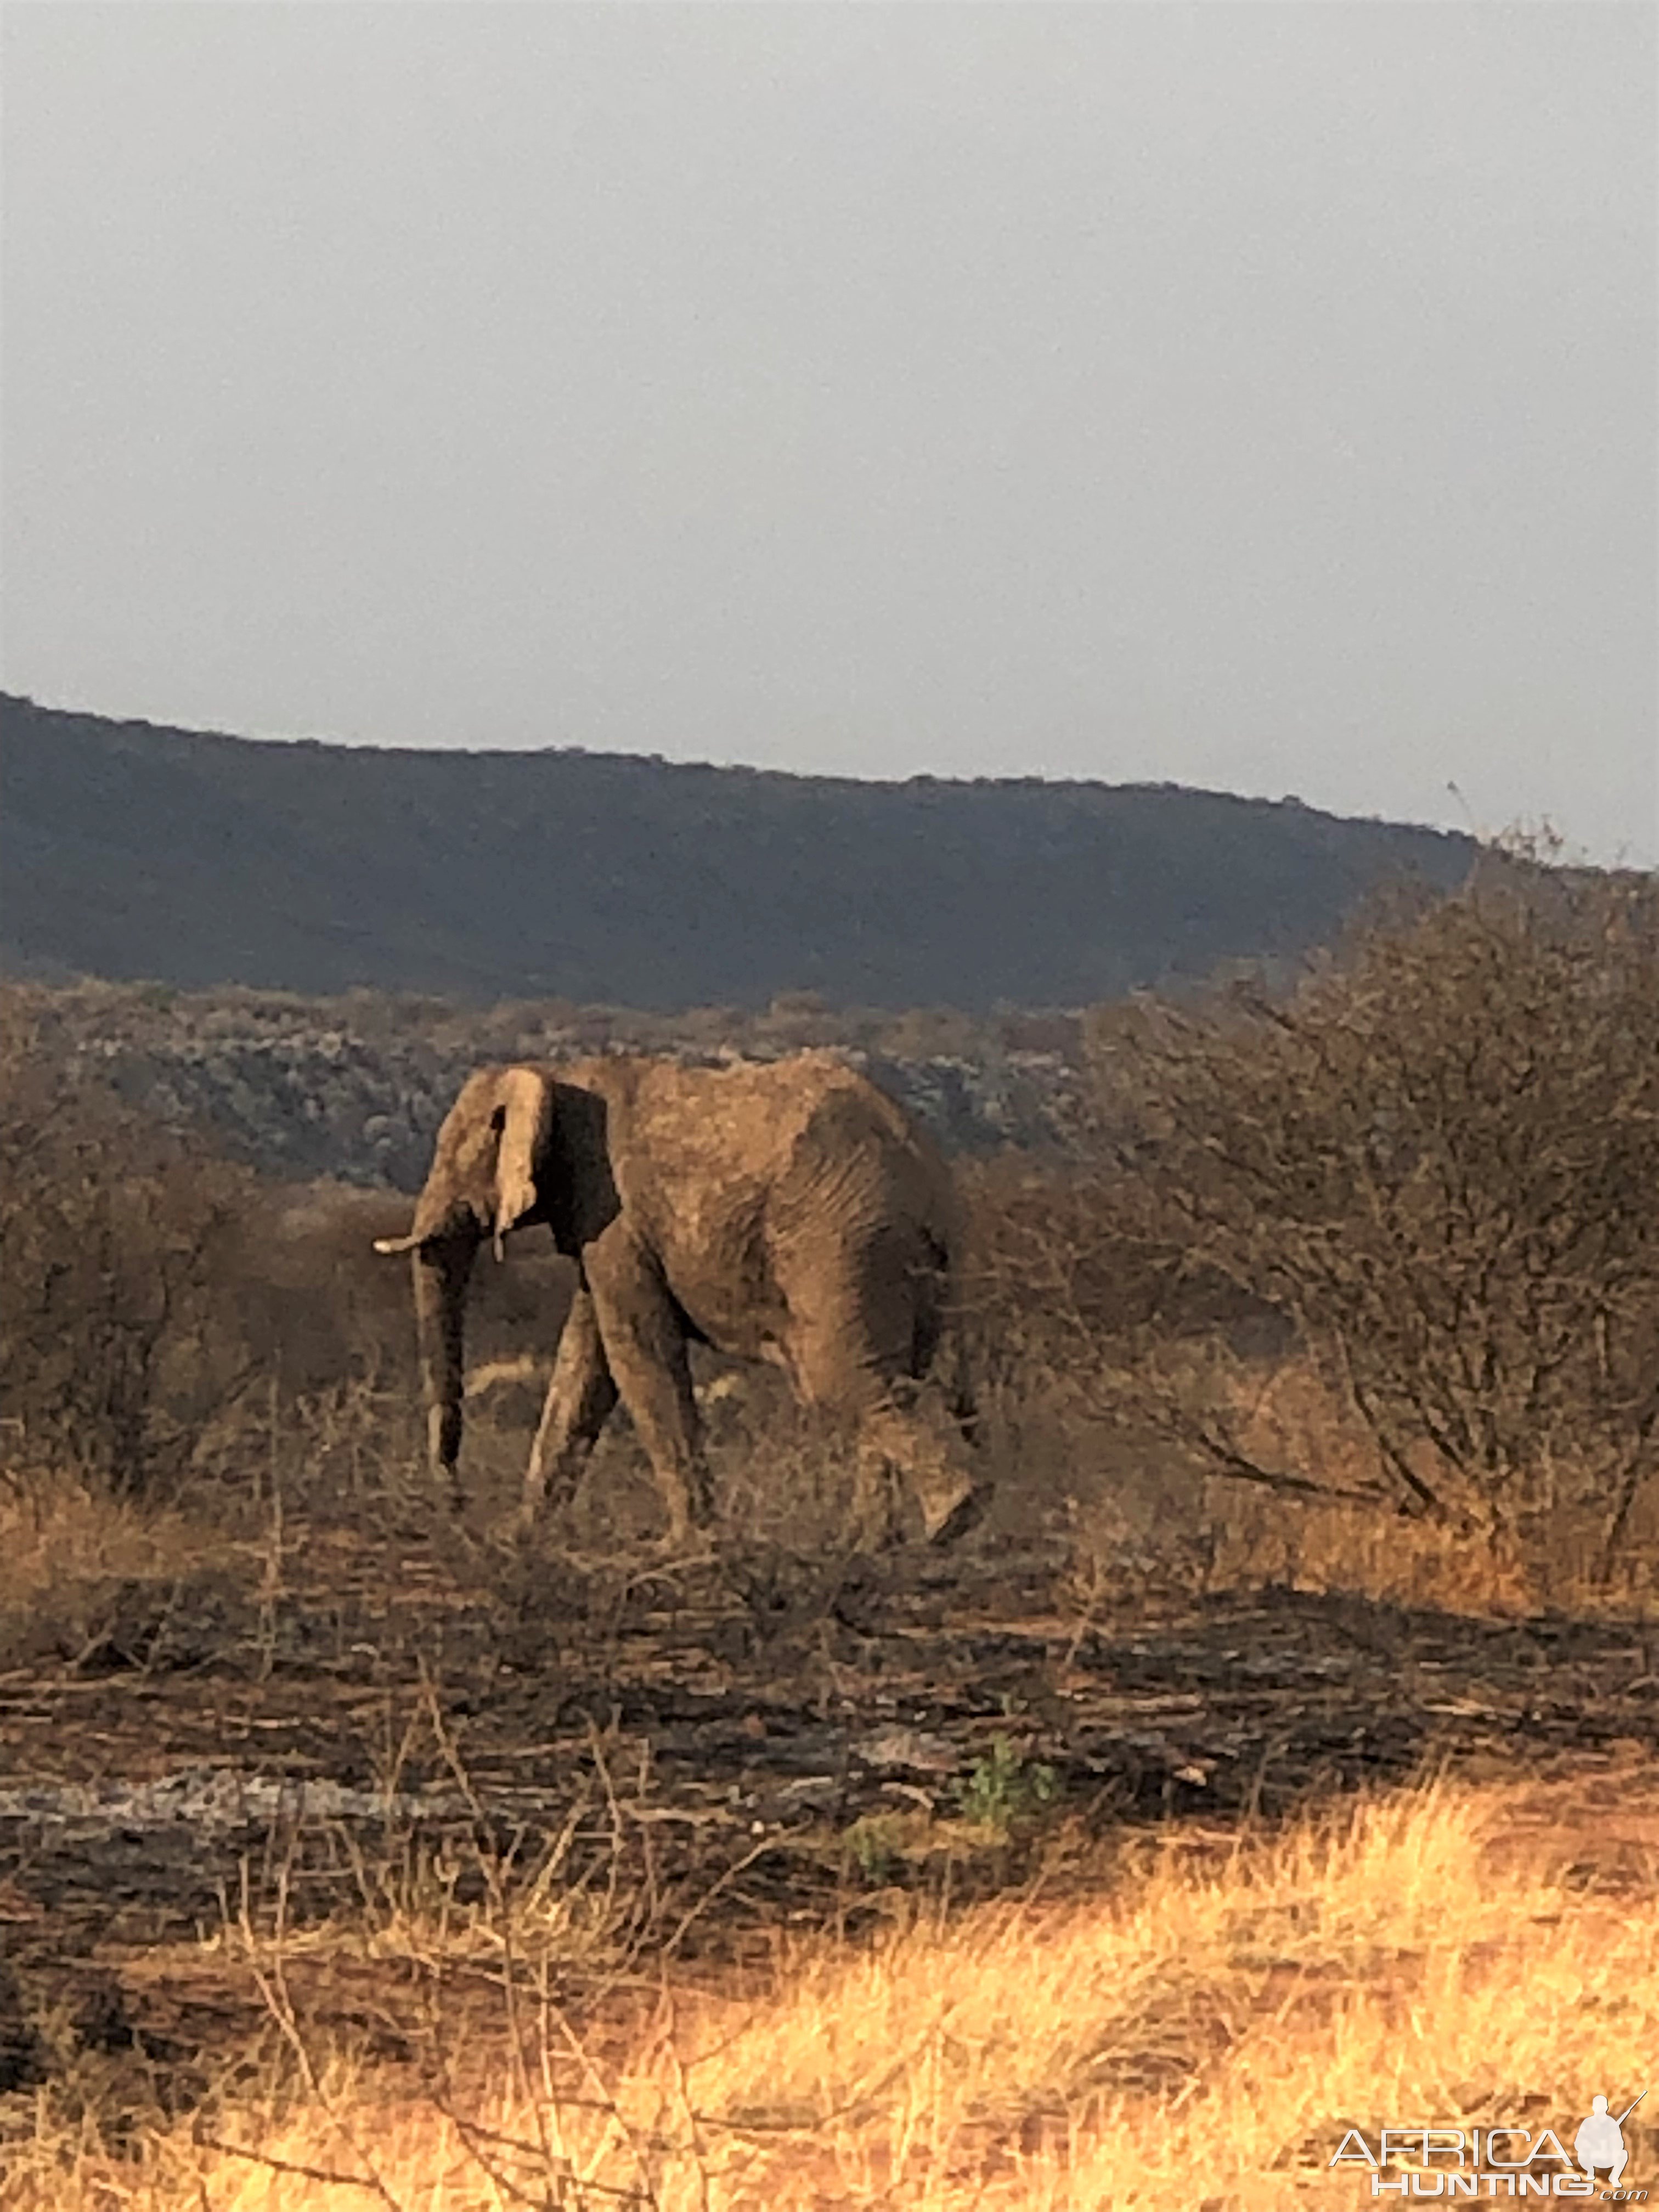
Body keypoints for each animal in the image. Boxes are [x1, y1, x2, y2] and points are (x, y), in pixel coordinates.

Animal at [376, 1044, 986, 1548]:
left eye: (451, 1156)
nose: (455, 1500)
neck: (560, 1074)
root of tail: (930, 1181)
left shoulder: (614, 1211)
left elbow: (635, 1351)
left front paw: (684, 1546)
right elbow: (586, 1363)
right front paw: (516, 1537)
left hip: (840, 1245)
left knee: (844, 1378)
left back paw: (951, 1519)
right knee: (888, 1376)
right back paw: (867, 1545)